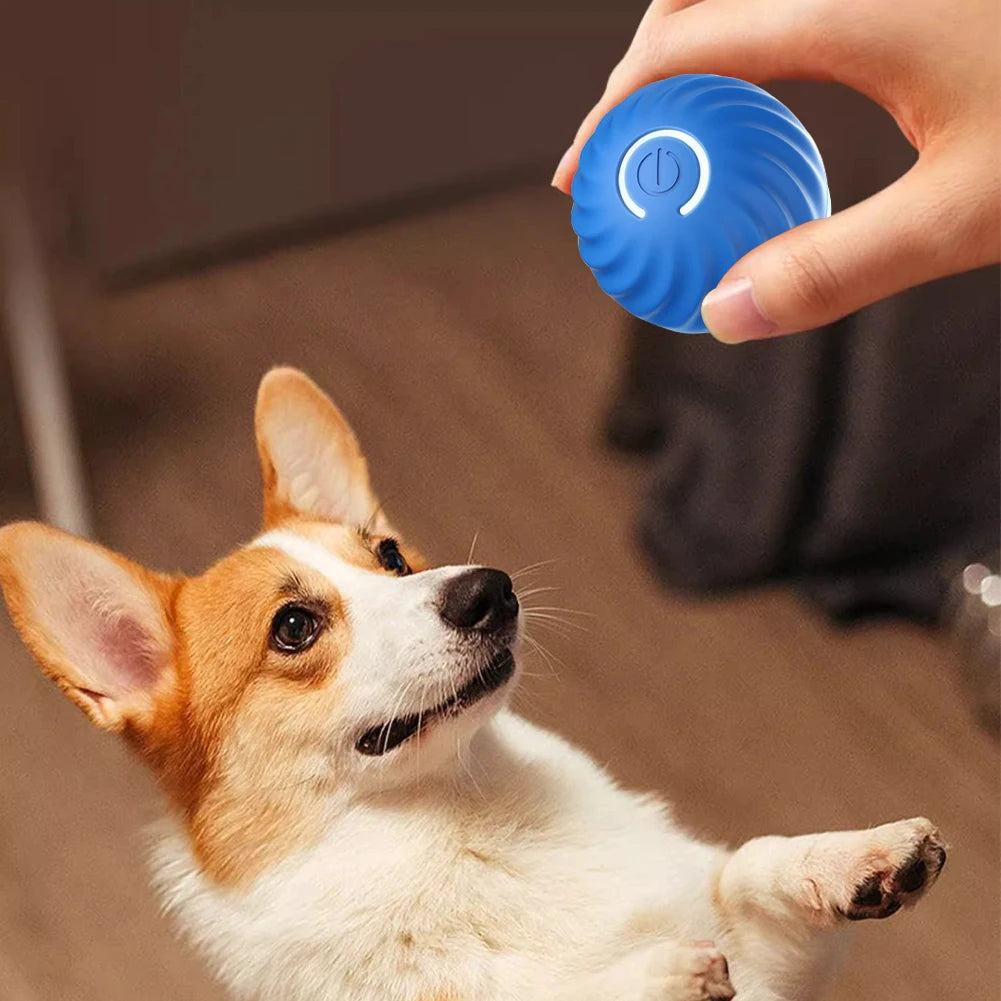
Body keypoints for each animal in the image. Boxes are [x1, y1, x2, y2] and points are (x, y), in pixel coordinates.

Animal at [0, 370, 944, 1001]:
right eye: (294, 627)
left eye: (390, 555)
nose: (490, 589)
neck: (466, 820)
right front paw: (656, 973)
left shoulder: (768, 957)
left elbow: (748, 865)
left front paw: (865, 856)